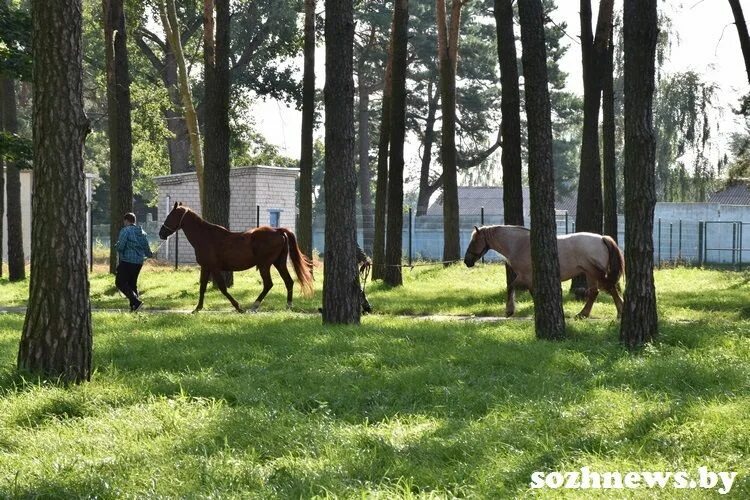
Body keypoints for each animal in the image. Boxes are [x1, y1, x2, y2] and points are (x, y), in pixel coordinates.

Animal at [159, 202, 314, 313]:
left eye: (170, 216)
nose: (161, 233)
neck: (206, 236)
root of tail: (278, 230)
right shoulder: (206, 267)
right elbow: (202, 287)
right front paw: (197, 308)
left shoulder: (214, 268)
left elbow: (222, 288)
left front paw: (238, 307)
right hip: (279, 263)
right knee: (289, 282)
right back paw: (288, 306)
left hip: (265, 265)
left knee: (269, 284)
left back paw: (254, 306)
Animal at [463, 225, 624, 319]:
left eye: (474, 241)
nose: (467, 261)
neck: (519, 244)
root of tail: (602, 238)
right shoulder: (528, 278)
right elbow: (529, 291)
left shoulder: (525, 276)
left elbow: (512, 288)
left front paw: (510, 311)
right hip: (589, 273)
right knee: (594, 293)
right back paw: (582, 314)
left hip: (595, 273)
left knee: (610, 289)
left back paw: (620, 312)